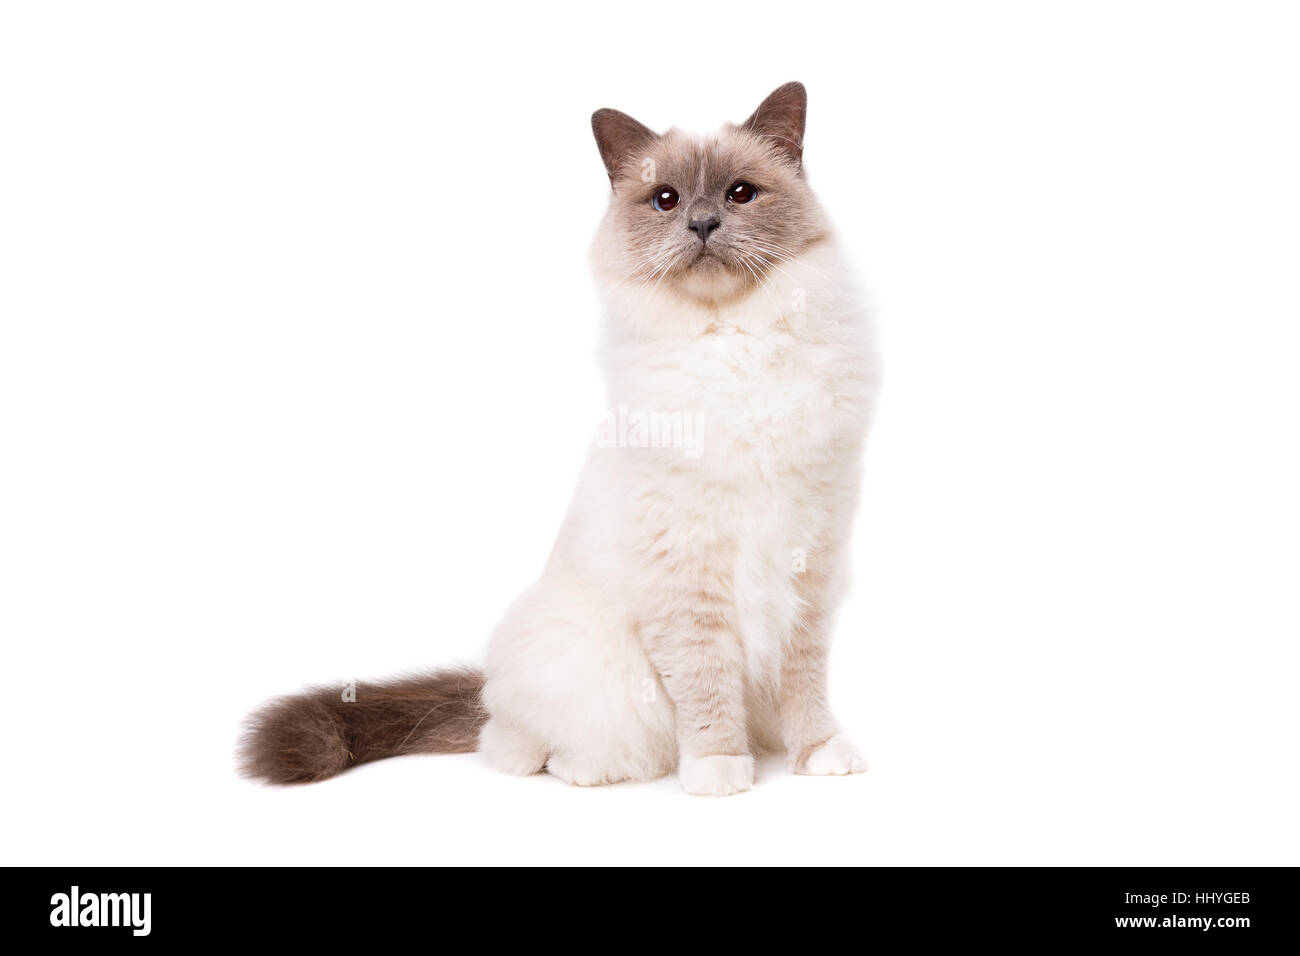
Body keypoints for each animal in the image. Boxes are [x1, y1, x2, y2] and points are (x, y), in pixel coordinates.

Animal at [239, 83, 878, 801]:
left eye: (741, 193)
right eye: (666, 200)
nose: (703, 225)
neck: (732, 339)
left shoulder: (810, 557)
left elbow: (804, 682)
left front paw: (819, 755)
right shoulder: (686, 574)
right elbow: (705, 683)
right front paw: (718, 770)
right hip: (575, 657)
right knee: (516, 745)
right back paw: (585, 769)